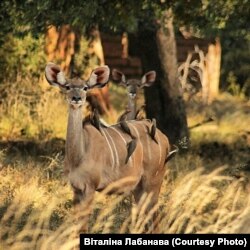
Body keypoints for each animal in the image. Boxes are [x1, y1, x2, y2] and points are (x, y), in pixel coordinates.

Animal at [45, 63, 172, 232]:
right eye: (67, 86)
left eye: (85, 87)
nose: (76, 98)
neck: (79, 155)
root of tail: (164, 138)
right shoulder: (76, 190)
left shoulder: (89, 187)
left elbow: (83, 226)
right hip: (138, 188)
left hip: (152, 182)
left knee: (155, 219)